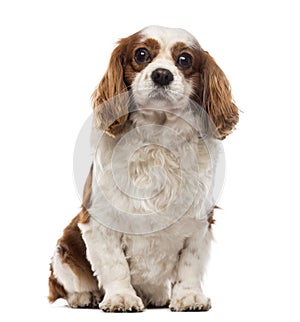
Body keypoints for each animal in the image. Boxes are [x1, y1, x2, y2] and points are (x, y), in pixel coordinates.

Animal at [48, 25, 238, 312]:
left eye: (185, 59)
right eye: (141, 54)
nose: (162, 74)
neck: (158, 138)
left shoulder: (199, 221)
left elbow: (190, 264)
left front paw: (189, 297)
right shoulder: (99, 221)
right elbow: (115, 265)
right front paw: (121, 297)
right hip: (63, 249)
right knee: (67, 284)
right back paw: (85, 296)